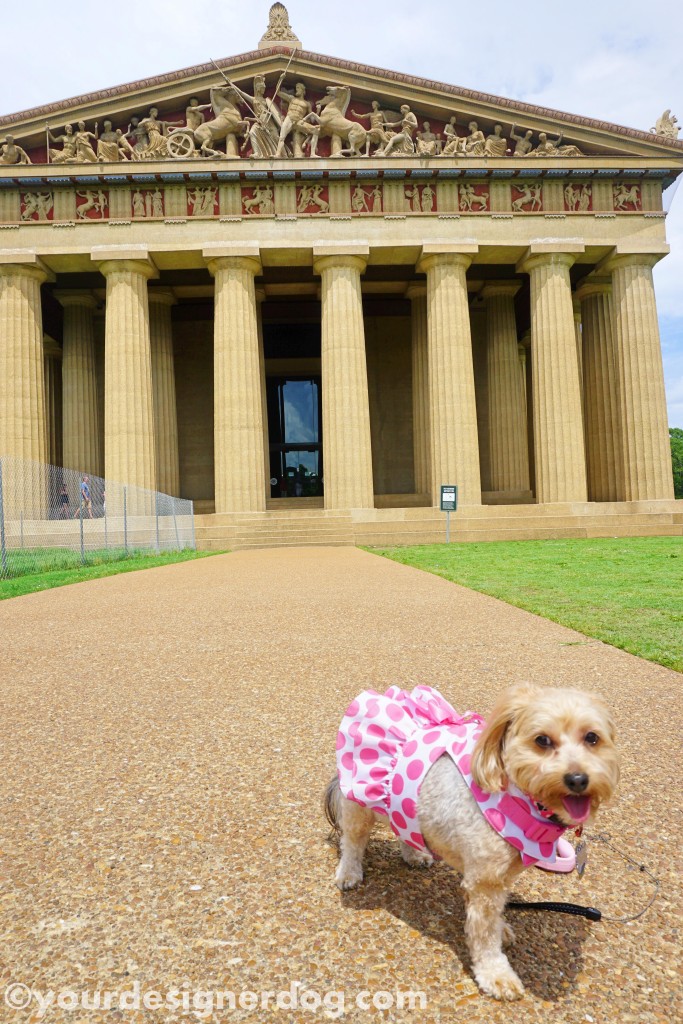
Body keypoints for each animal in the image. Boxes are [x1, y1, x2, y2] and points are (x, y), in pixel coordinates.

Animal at [325, 679, 618, 999]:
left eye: (592, 737)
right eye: (542, 740)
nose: (577, 779)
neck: (519, 798)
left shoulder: (497, 878)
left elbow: (494, 916)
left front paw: (502, 929)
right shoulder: (485, 882)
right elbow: (484, 934)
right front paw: (496, 973)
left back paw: (414, 853)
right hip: (358, 799)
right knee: (353, 840)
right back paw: (349, 872)